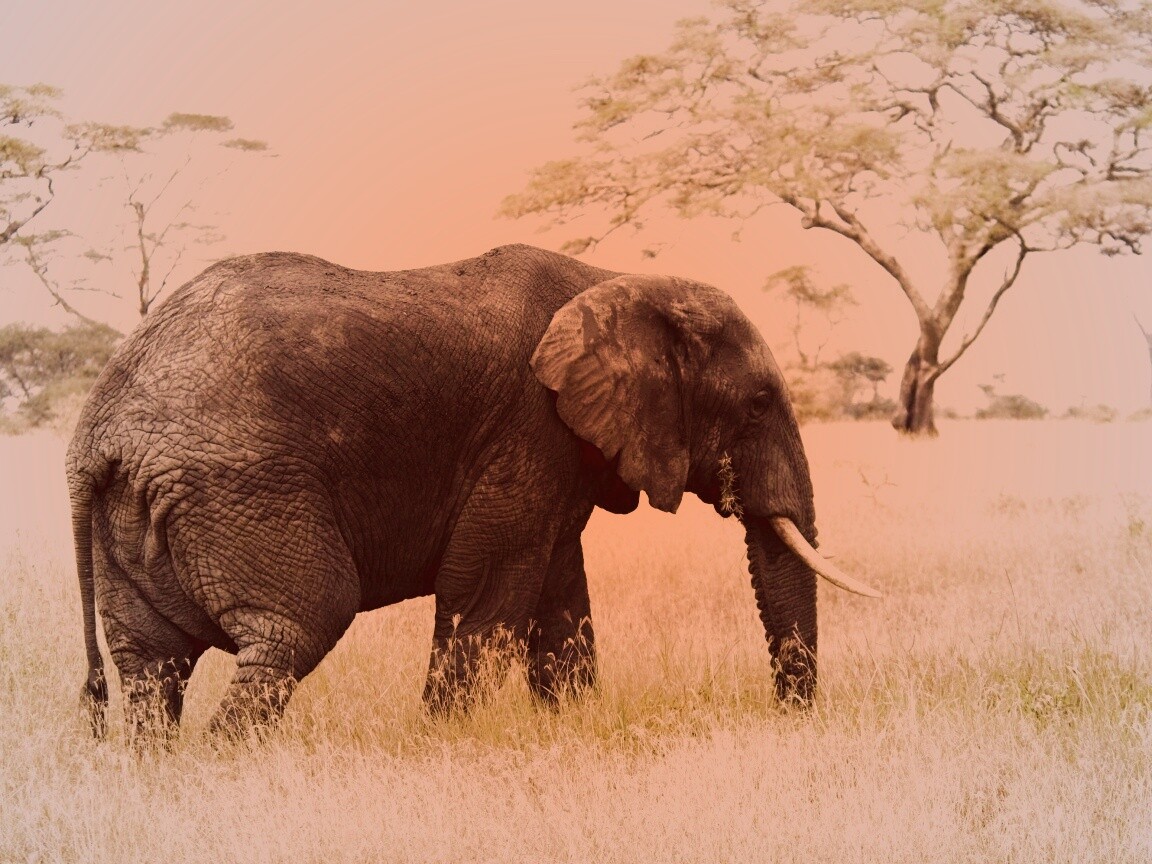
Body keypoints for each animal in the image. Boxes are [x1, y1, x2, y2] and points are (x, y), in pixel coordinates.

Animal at [67, 243, 878, 739]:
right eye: (759, 403)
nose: (789, 719)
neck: (616, 279)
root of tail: (96, 429)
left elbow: (558, 596)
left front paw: (569, 729)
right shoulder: (528, 427)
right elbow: (486, 588)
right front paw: (443, 742)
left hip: (139, 510)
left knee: (150, 665)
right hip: (239, 486)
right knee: (297, 625)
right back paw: (227, 766)